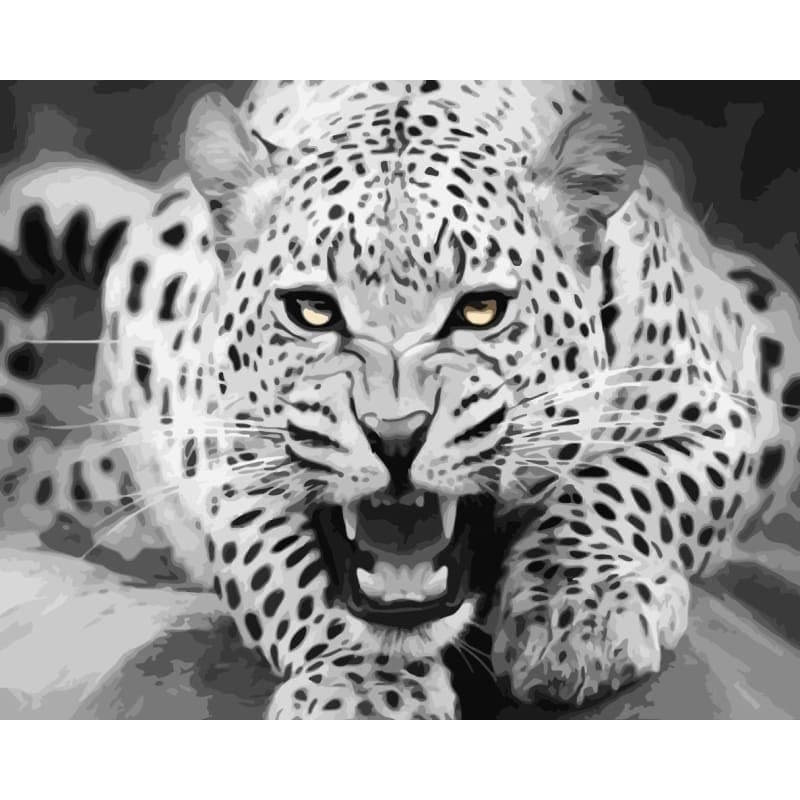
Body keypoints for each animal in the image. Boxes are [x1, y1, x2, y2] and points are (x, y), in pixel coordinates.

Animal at [2, 80, 800, 719]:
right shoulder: (230, 464)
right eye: (312, 311)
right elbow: (294, 580)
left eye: (480, 310)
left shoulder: (717, 416)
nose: (395, 435)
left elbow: (616, 486)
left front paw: (577, 619)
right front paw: (364, 693)